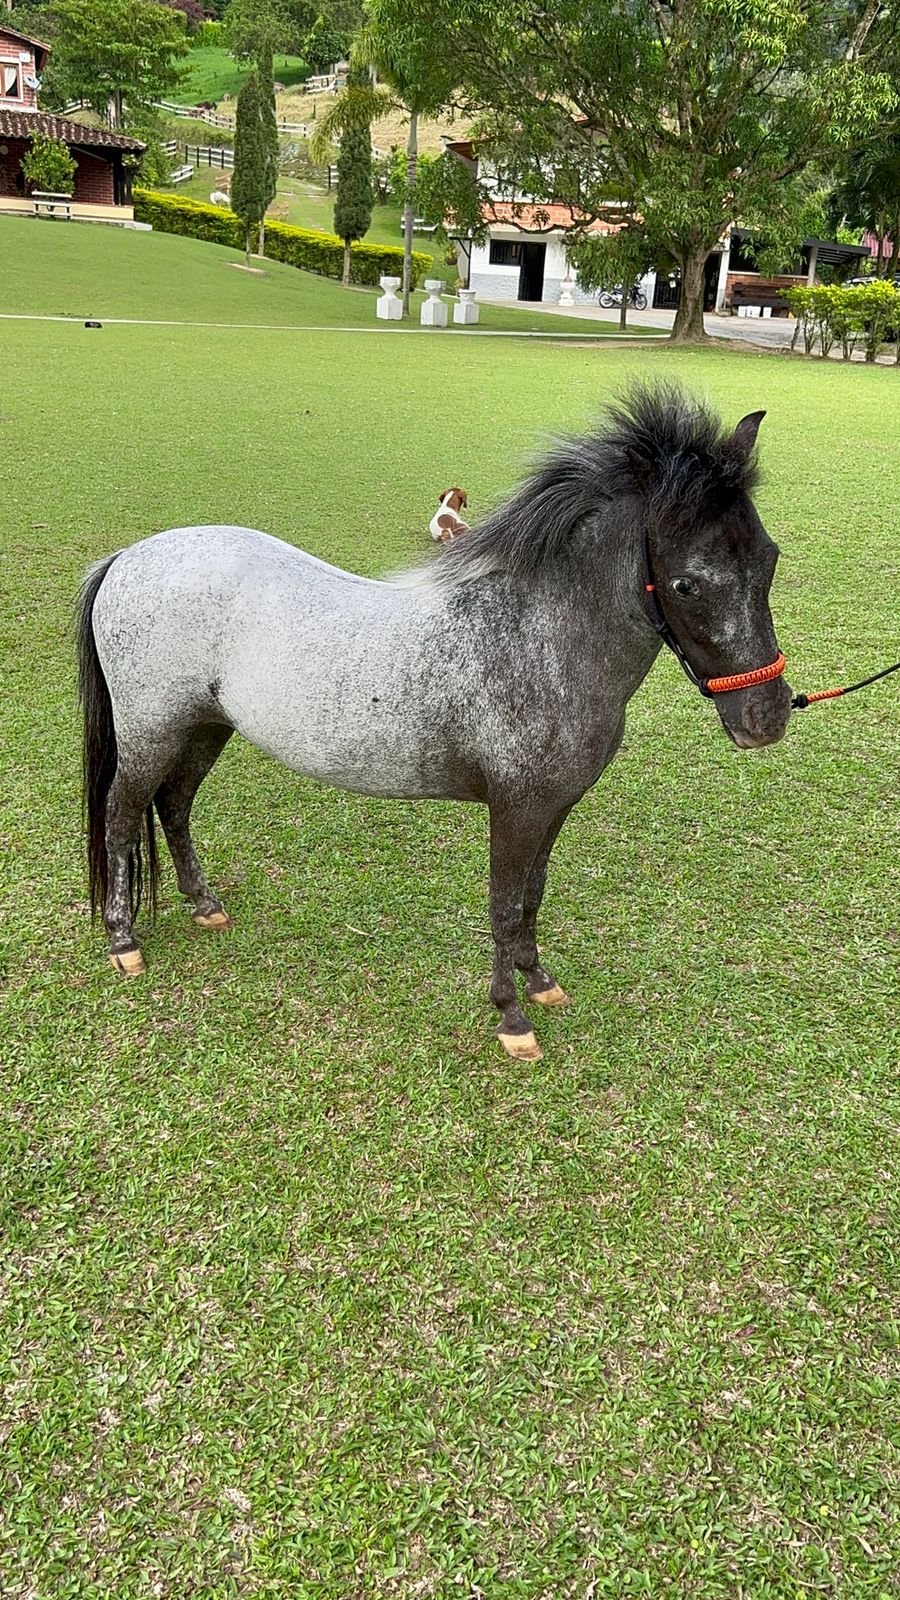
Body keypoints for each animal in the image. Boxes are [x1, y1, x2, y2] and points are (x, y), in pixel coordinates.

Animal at [77, 384, 792, 1061]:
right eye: (686, 584)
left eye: (770, 557)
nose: (767, 718)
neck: (537, 637)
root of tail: (128, 558)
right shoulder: (516, 808)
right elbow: (504, 905)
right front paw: (512, 1019)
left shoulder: (552, 807)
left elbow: (531, 896)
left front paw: (540, 983)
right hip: (151, 734)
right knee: (121, 816)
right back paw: (123, 940)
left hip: (205, 727)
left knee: (174, 807)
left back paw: (205, 907)